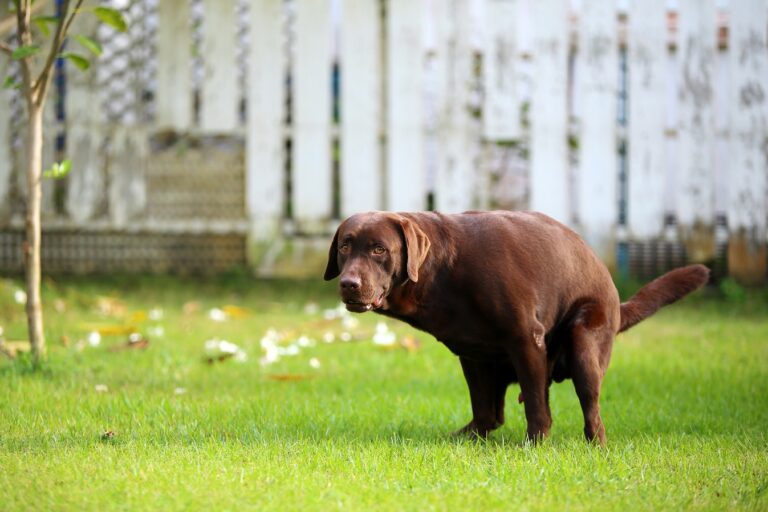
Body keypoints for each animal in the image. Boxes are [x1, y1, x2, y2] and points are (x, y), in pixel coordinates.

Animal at [322, 210, 708, 442]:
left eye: (379, 250)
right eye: (344, 246)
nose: (349, 284)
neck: (444, 270)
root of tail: (615, 297)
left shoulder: (526, 339)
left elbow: (537, 406)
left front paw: (534, 445)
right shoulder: (472, 354)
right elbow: (484, 407)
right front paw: (469, 440)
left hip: (585, 342)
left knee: (592, 410)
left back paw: (595, 445)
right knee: (495, 413)